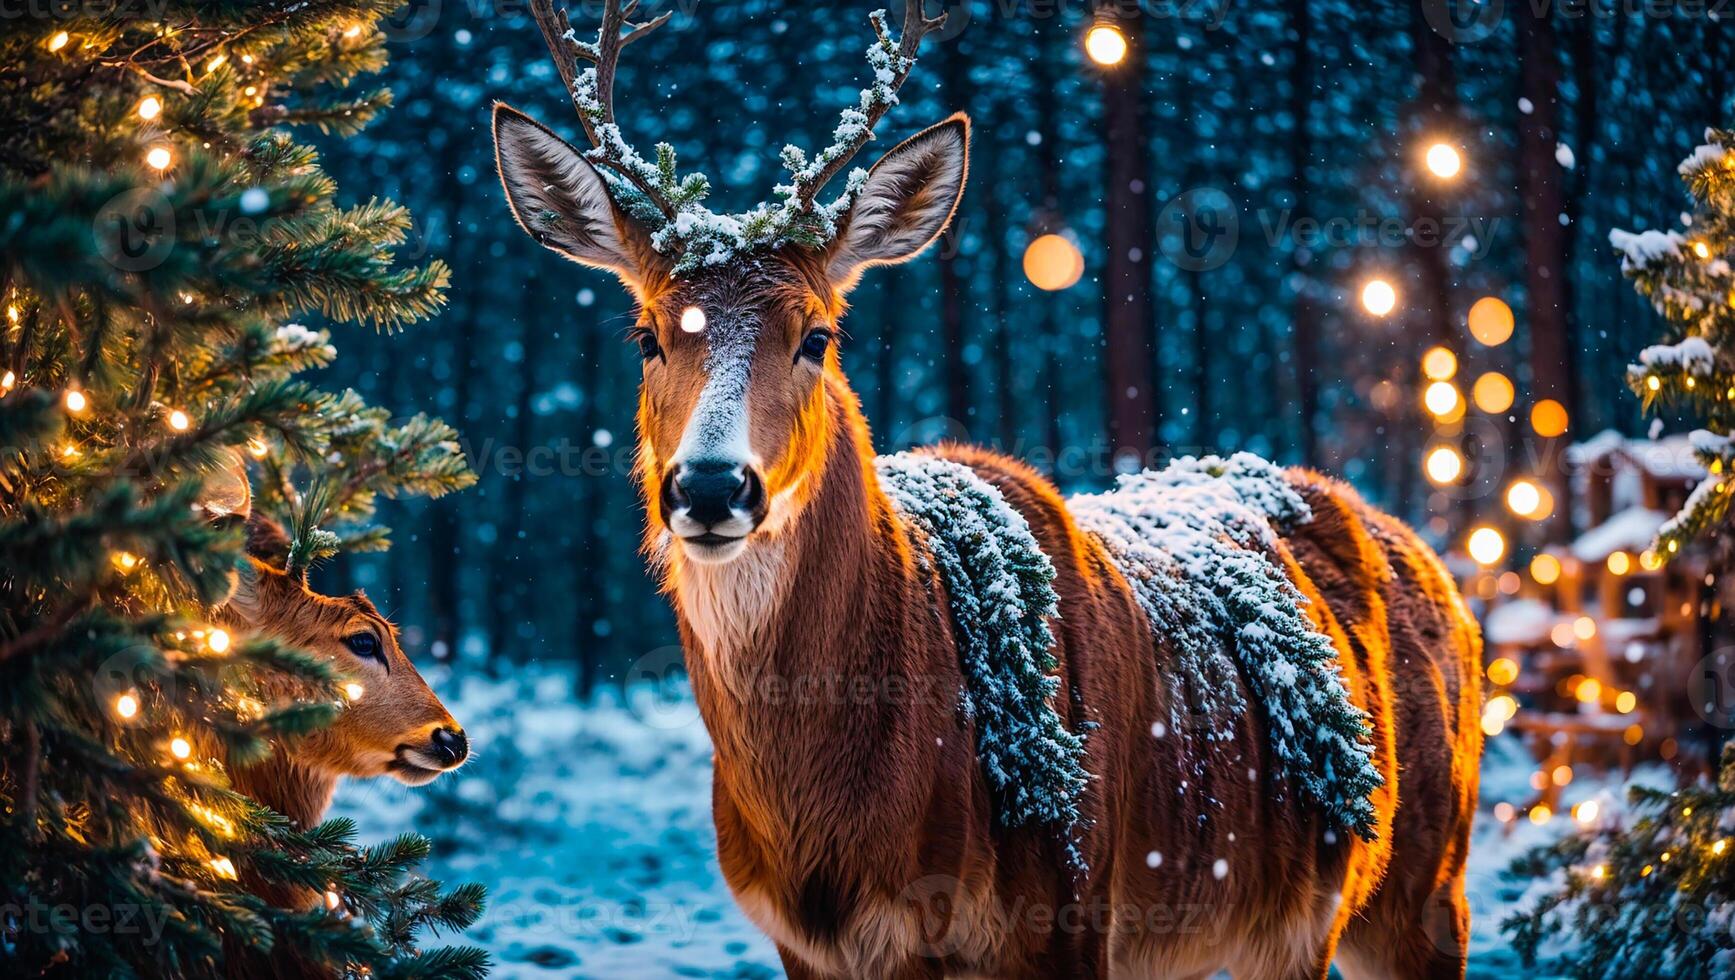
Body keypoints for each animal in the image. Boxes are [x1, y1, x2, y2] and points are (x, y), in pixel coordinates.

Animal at [496, 3, 1485, 971]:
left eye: (816, 335)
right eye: (647, 334)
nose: (709, 488)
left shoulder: (1070, 911)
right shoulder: (801, 943)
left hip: (1424, 882)